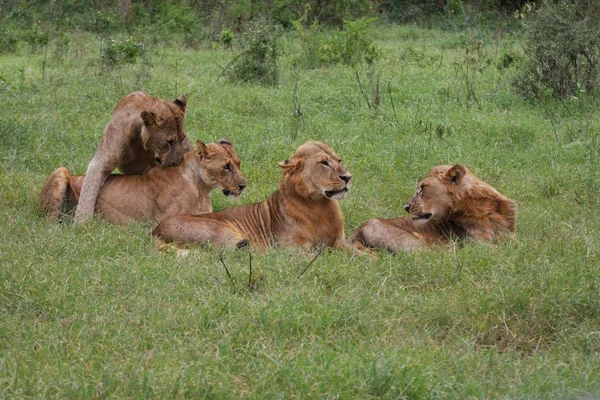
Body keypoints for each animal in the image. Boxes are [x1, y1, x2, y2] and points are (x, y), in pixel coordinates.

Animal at [40, 138, 246, 225]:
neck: (202, 189)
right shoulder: (166, 220)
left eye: (238, 163)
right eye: (226, 167)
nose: (244, 186)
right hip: (61, 170)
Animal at [74, 90, 190, 222]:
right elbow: (88, 192)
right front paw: (82, 223)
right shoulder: (101, 163)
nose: (178, 162)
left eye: (183, 138)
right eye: (169, 142)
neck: (141, 144)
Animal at [150, 141, 354, 250]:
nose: (348, 177)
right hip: (223, 231)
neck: (320, 206)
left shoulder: (341, 243)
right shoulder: (294, 250)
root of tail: (155, 231)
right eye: (323, 163)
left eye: (339, 160)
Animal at [352, 163, 516, 253]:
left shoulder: (510, 236)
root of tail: (356, 233)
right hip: (418, 245)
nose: (406, 207)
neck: (485, 208)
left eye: (422, 188)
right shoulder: (478, 244)